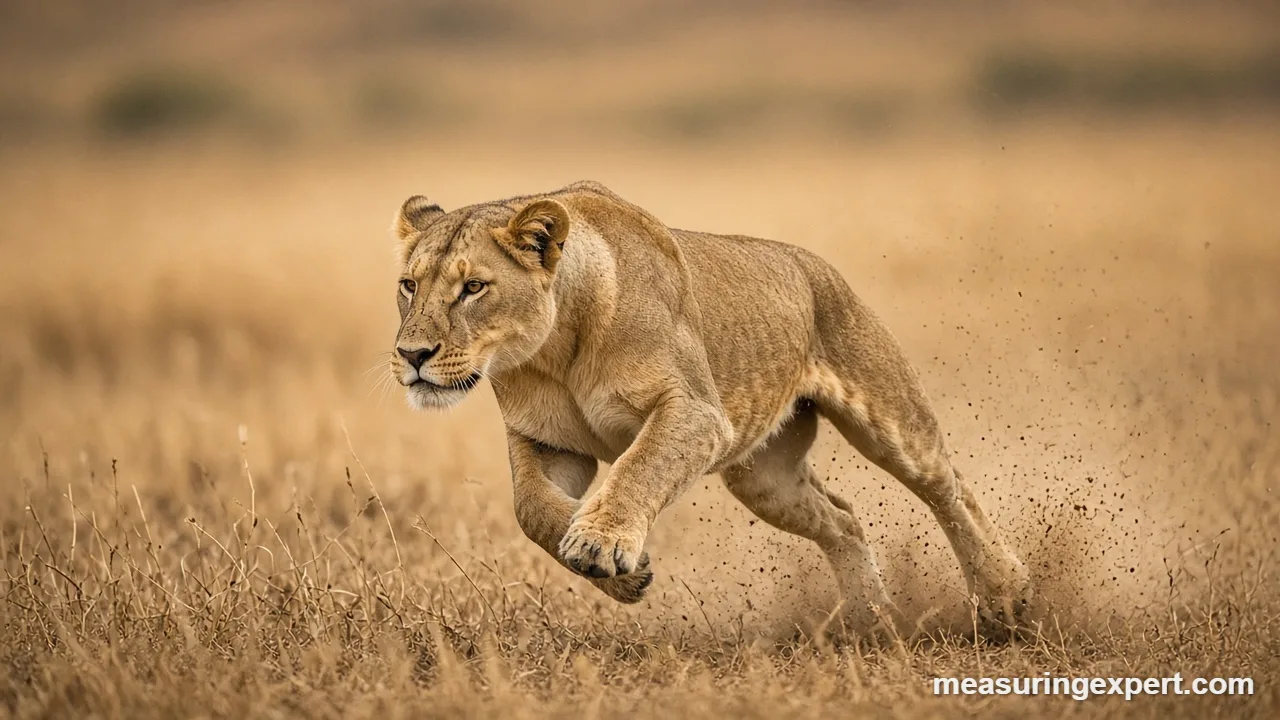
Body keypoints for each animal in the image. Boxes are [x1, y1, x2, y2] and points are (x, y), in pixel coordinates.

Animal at [388, 181, 1031, 637]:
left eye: (474, 287)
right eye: (408, 286)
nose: (412, 355)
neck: (556, 348)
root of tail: (817, 267)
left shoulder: (696, 414)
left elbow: (638, 466)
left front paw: (599, 543)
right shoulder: (547, 442)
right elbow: (532, 509)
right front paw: (625, 575)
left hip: (889, 419)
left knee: (950, 490)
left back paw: (1006, 597)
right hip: (764, 478)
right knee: (844, 520)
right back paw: (871, 624)